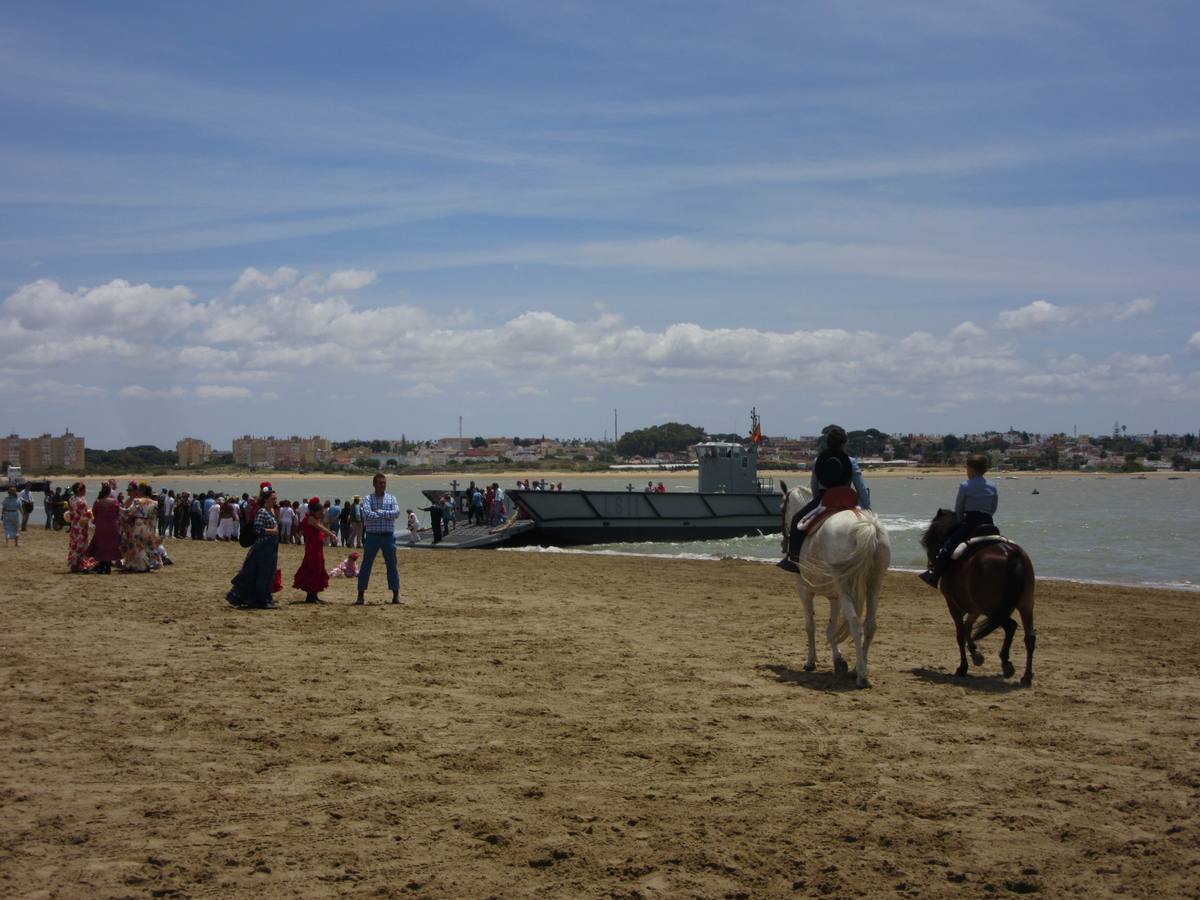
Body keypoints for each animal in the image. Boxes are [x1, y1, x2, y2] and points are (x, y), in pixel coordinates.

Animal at [782, 482, 888, 686]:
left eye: (781, 508)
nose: (784, 543)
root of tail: (867, 525)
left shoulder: (804, 591)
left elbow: (810, 625)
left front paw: (811, 661)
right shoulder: (834, 597)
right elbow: (831, 628)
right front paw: (838, 661)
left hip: (845, 587)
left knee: (854, 622)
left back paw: (861, 674)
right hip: (874, 585)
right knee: (870, 625)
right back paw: (858, 667)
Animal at [921, 511, 1036, 686]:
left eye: (930, 538)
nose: (931, 563)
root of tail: (1010, 553)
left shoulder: (954, 605)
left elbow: (961, 633)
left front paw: (963, 667)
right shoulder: (974, 609)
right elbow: (968, 628)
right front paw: (976, 655)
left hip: (992, 608)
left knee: (1011, 626)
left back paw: (1006, 663)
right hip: (1025, 605)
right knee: (1029, 637)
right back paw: (1026, 676)